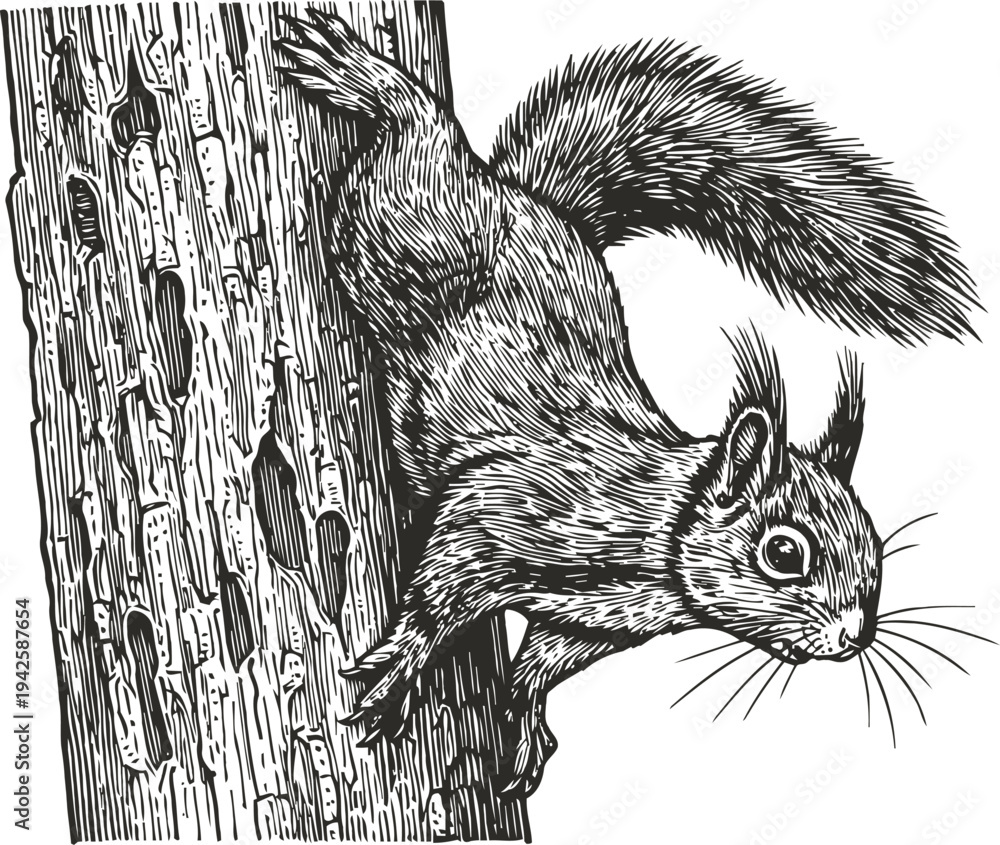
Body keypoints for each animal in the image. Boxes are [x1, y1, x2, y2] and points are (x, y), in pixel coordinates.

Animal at [275, 11, 980, 797]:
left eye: (875, 550)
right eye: (783, 552)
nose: (854, 634)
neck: (655, 541)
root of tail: (518, 193)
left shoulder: (587, 624)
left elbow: (543, 662)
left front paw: (527, 718)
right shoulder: (498, 513)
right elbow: (440, 594)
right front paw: (400, 670)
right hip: (399, 216)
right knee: (414, 144)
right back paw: (375, 83)